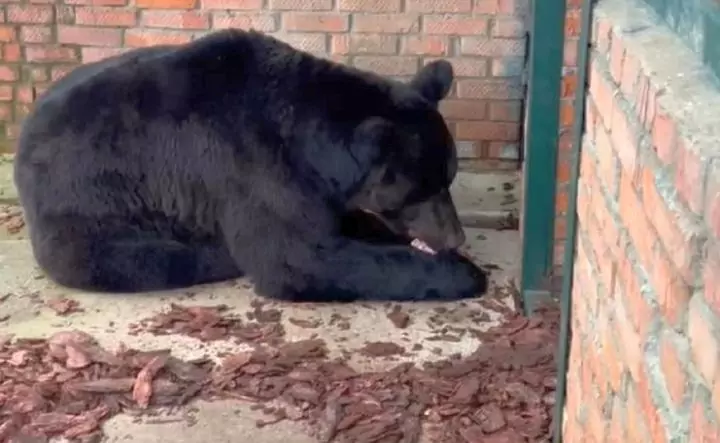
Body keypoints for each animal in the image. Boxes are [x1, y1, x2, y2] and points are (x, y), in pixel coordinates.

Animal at [15, 29, 490, 304]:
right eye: (421, 189)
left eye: (448, 177)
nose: (456, 236)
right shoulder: (253, 166)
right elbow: (298, 257)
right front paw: (464, 272)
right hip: (93, 203)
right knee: (142, 258)